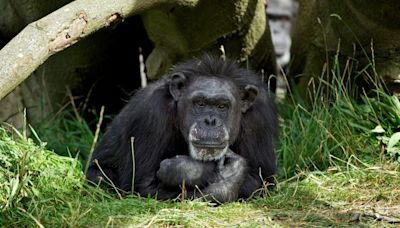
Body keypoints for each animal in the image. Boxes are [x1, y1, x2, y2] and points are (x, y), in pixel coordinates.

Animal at [85, 54, 276, 203]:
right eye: (200, 103)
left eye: (222, 106)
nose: (210, 121)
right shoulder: (151, 113)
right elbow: (143, 186)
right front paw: (203, 172)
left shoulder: (260, 118)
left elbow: (262, 180)